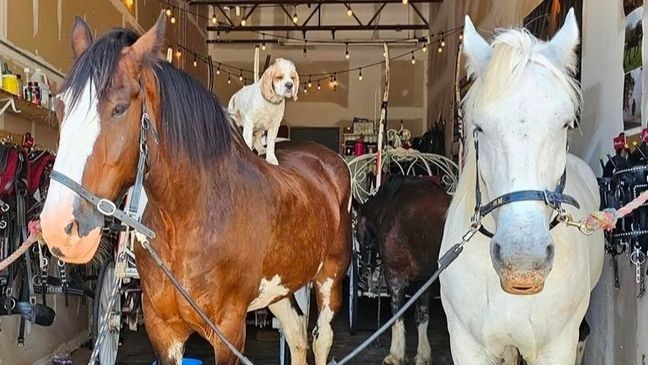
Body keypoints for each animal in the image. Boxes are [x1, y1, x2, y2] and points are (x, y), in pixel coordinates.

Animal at [38, 14, 352, 364]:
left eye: (119, 108)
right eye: (61, 106)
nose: (58, 228)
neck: (190, 219)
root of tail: (327, 159)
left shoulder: (229, 331)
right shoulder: (163, 330)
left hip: (329, 277)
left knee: (321, 338)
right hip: (280, 287)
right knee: (296, 334)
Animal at [354, 176, 450, 364]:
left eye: (356, 232)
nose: (366, 269)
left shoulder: (395, 277)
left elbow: (397, 314)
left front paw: (395, 355)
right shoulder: (424, 280)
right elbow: (422, 317)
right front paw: (422, 356)